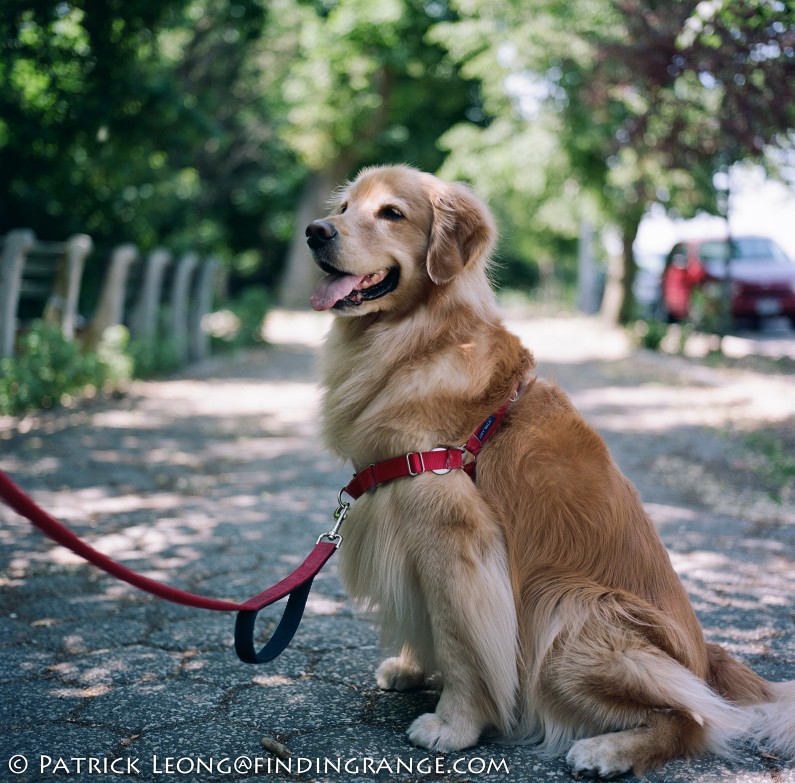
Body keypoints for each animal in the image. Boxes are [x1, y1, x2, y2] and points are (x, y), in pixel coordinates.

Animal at [304, 165, 795, 776]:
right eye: (345, 207)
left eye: (391, 213)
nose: (315, 232)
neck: (419, 340)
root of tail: (706, 658)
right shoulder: (402, 518)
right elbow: (428, 617)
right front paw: (413, 668)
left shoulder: (454, 533)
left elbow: (460, 637)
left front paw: (454, 724)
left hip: (563, 608)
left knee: (694, 720)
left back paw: (609, 750)